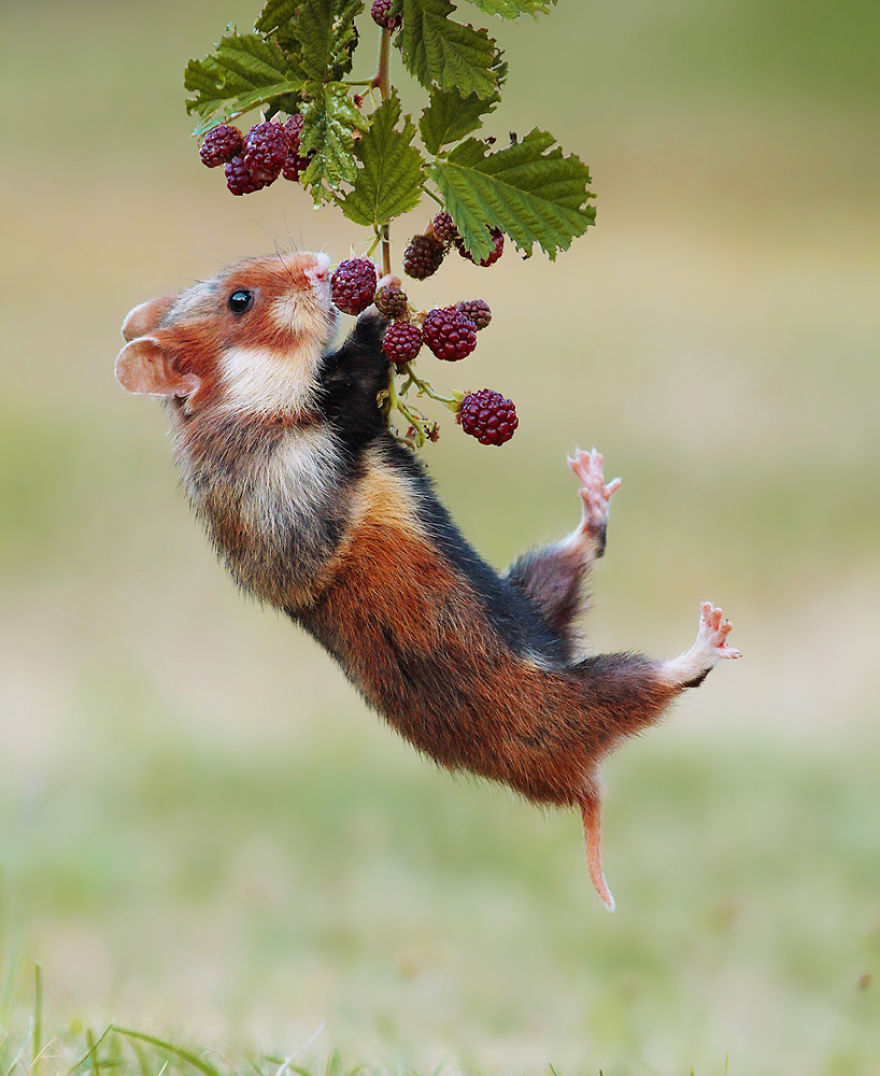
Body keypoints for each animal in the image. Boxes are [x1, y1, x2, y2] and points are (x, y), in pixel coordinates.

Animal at [115, 251, 740, 909]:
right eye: (240, 300)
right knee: (661, 683)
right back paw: (709, 635)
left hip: (530, 588)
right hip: (576, 700)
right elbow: (359, 375)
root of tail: (579, 788)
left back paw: (592, 484)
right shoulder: (311, 456)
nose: (321, 263)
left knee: (580, 550)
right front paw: (381, 296)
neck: (238, 410)